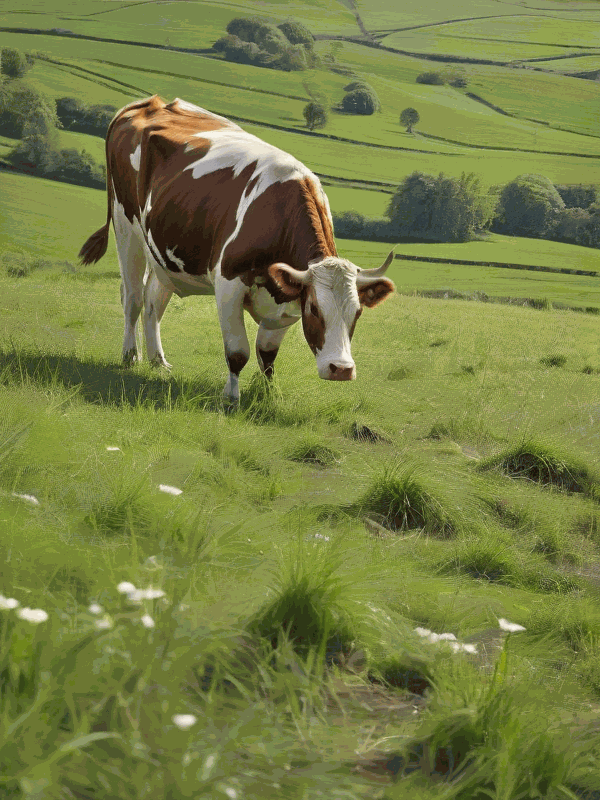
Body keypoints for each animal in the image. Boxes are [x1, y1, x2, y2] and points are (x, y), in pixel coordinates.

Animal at [79, 95, 395, 406]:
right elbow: (238, 352)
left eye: (357, 312)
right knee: (132, 297)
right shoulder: (229, 285)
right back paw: (131, 355)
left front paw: (269, 395)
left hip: (163, 253)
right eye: (315, 309)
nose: (341, 369)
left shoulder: (287, 300)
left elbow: (267, 355)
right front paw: (231, 397)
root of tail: (150, 102)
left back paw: (158, 360)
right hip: (125, 226)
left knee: (153, 301)